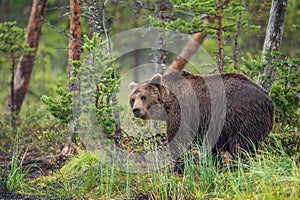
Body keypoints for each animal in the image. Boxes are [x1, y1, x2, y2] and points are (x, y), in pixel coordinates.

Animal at [127, 70, 274, 170]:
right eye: (132, 99)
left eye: (143, 97)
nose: (136, 110)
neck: (168, 102)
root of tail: (268, 99)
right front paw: (215, 164)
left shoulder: (182, 111)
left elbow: (178, 138)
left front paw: (177, 168)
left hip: (245, 118)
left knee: (242, 147)